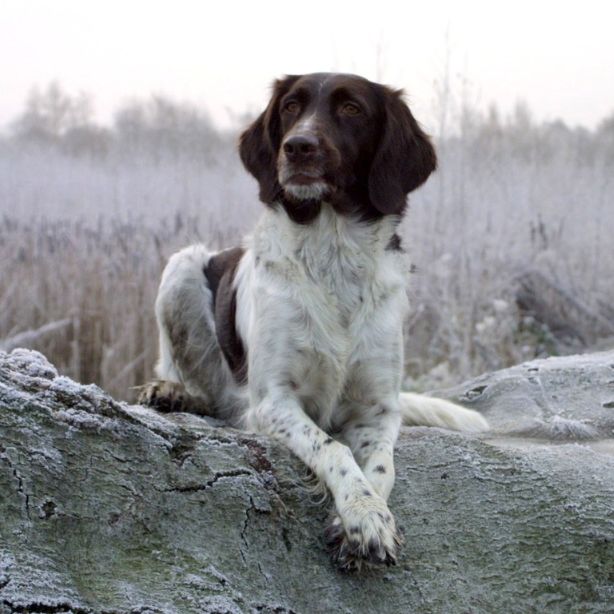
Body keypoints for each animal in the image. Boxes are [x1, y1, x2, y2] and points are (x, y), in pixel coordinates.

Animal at [141, 74, 490, 576]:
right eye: (290, 106)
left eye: (351, 108)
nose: (298, 146)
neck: (334, 253)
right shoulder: (274, 402)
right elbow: (332, 448)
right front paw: (363, 516)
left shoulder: (378, 410)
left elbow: (381, 468)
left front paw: (363, 519)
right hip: (182, 265)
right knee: (194, 381)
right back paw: (174, 391)